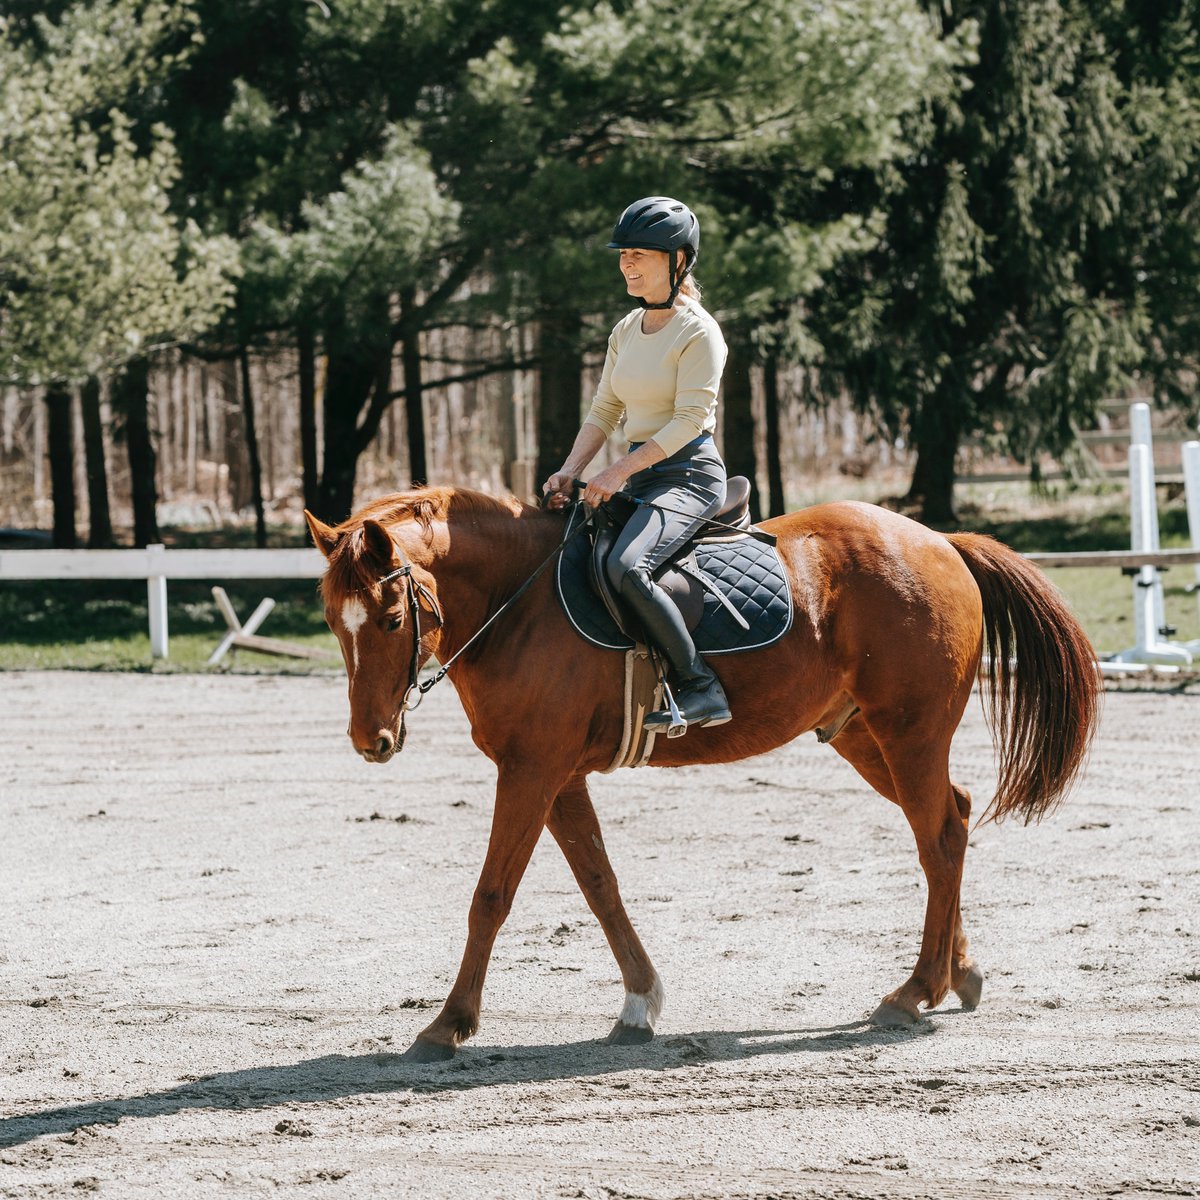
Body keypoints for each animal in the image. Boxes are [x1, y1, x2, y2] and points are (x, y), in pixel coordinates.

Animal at [304, 487, 1100, 1062]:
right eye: (335, 623)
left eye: (390, 618)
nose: (370, 741)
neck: (518, 605)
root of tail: (938, 542)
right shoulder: (555, 776)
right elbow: (600, 885)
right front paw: (639, 1002)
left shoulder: (531, 771)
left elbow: (491, 897)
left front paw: (448, 1024)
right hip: (865, 736)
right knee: (951, 820)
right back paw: (959, 973)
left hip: (909, 733)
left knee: (937, 838)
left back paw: (915, 991)